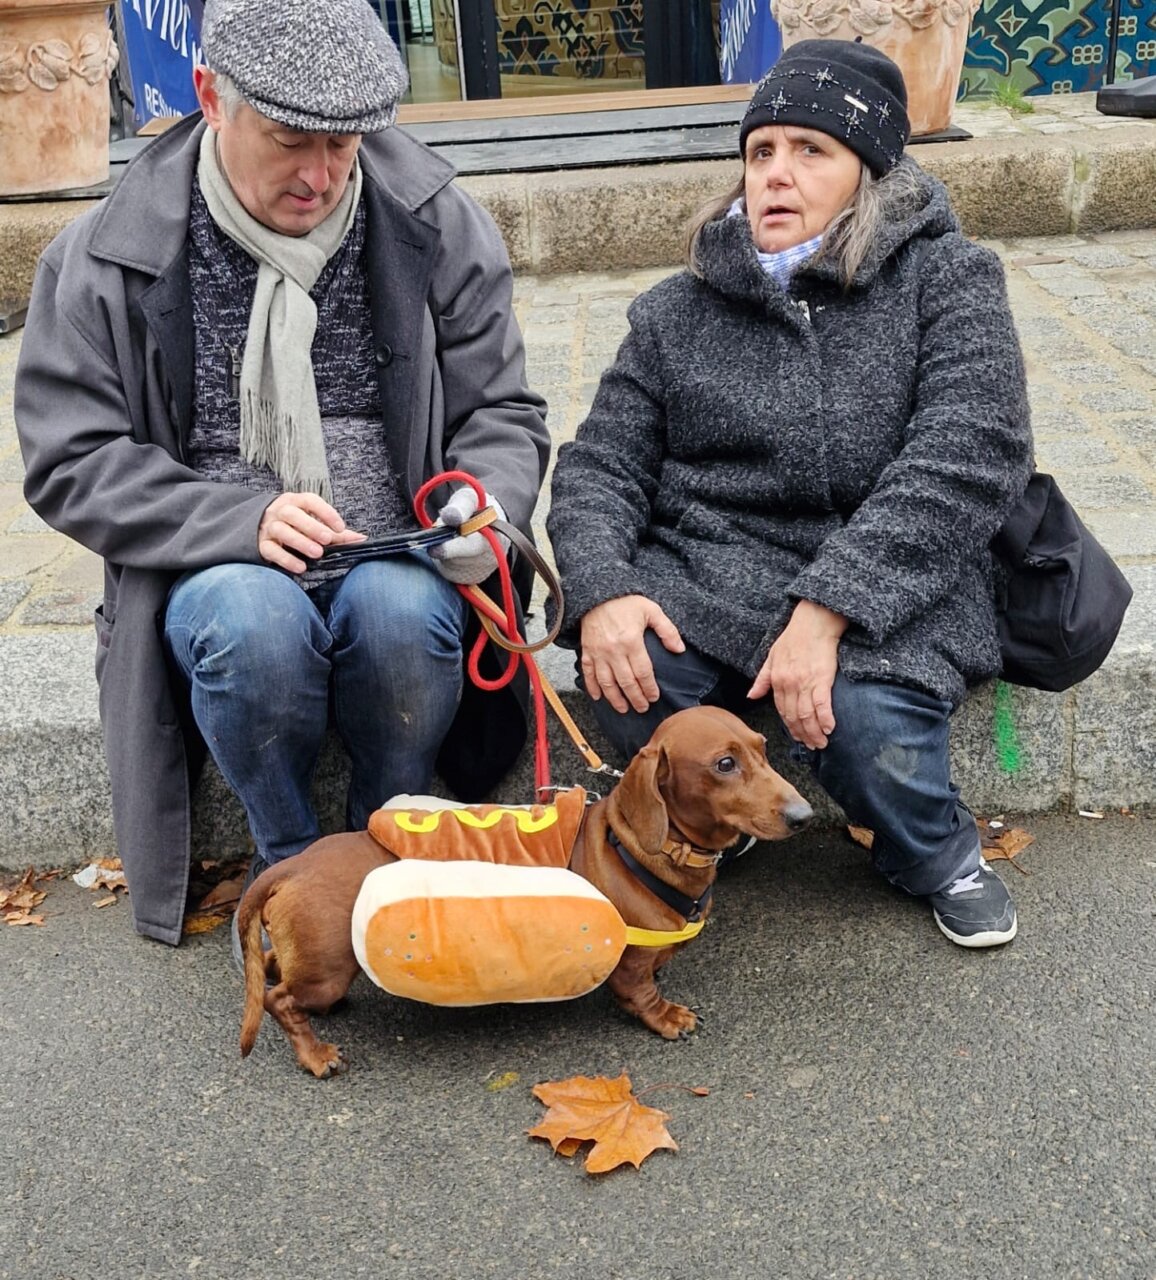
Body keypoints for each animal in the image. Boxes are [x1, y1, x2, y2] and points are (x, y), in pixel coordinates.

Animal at [235, 706, 814, 1075]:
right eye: (724, 764)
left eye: (764, 749)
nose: (804, 816)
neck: (642, 845)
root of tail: (291, 866)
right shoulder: (628, 959)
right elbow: (640, 992)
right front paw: (667, 1017)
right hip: (328, 967)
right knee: (279, 999)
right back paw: (316, 1056)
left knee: (273, 966)